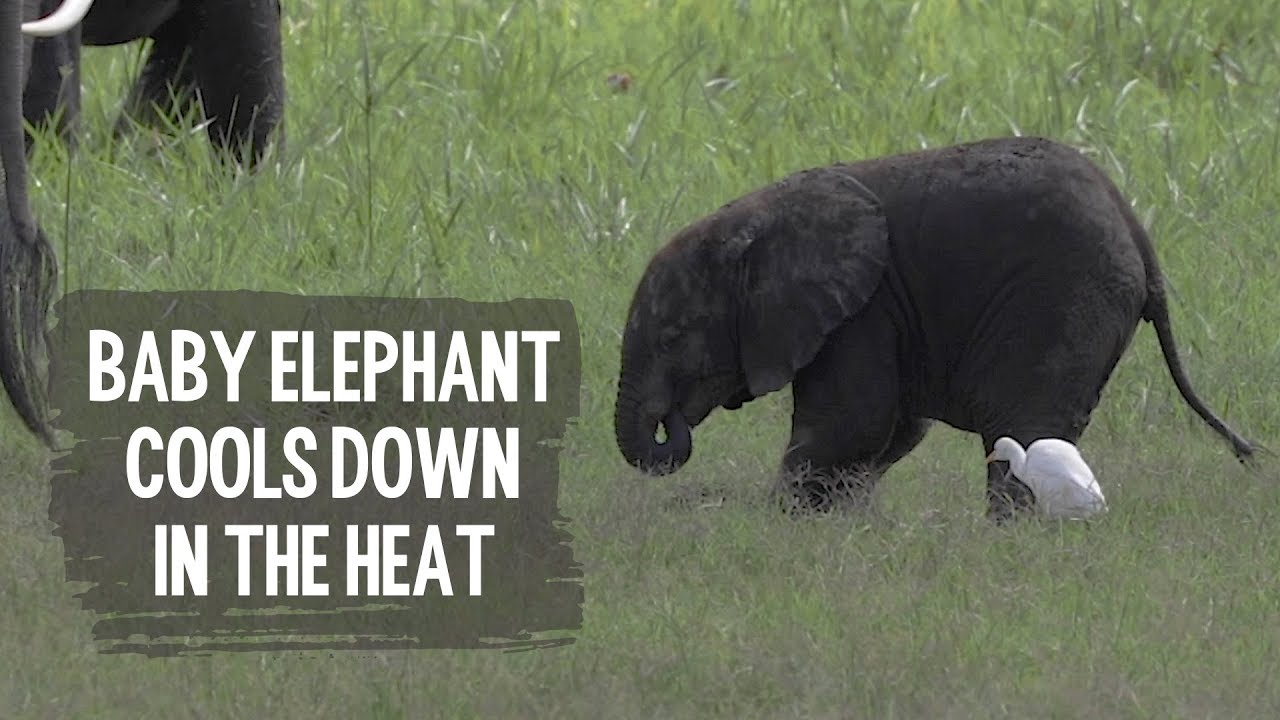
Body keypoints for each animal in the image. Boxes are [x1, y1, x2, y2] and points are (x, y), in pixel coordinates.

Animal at [613, 136, 1256, 520]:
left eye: (674, 337)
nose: (672, 421)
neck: (757, 218)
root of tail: (1136, 229)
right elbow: (892, 431)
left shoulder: (863, 311)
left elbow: (852, 424)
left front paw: (776, 525)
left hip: (1061, 296)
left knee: (1024, 425)